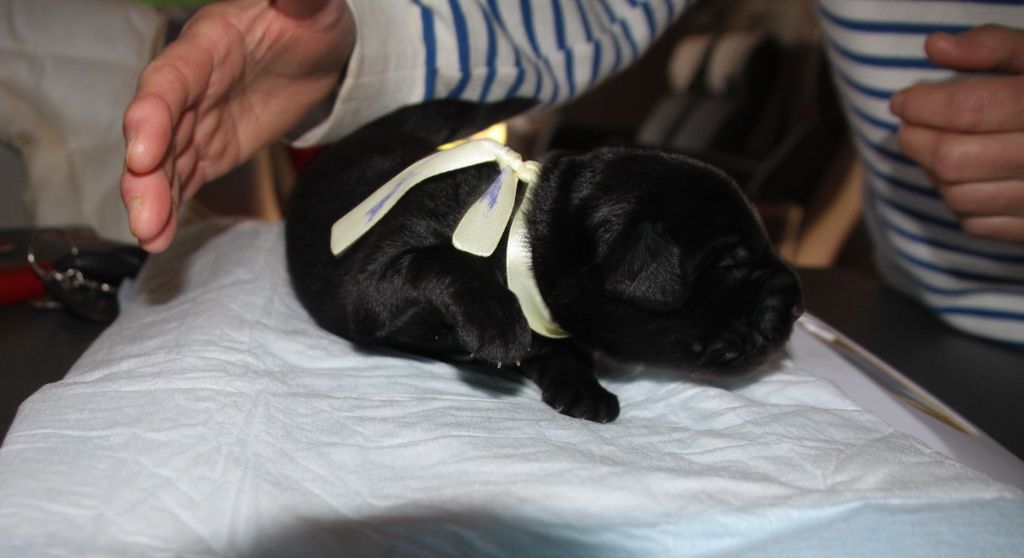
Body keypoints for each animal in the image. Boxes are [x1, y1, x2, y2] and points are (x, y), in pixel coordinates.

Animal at [285, 101, 803, 423]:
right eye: (731, 264)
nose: (797, 305)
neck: (521, 234)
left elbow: (563, 352)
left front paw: (583, 388)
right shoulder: (372, 285)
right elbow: (439, 262)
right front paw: (497, 322)